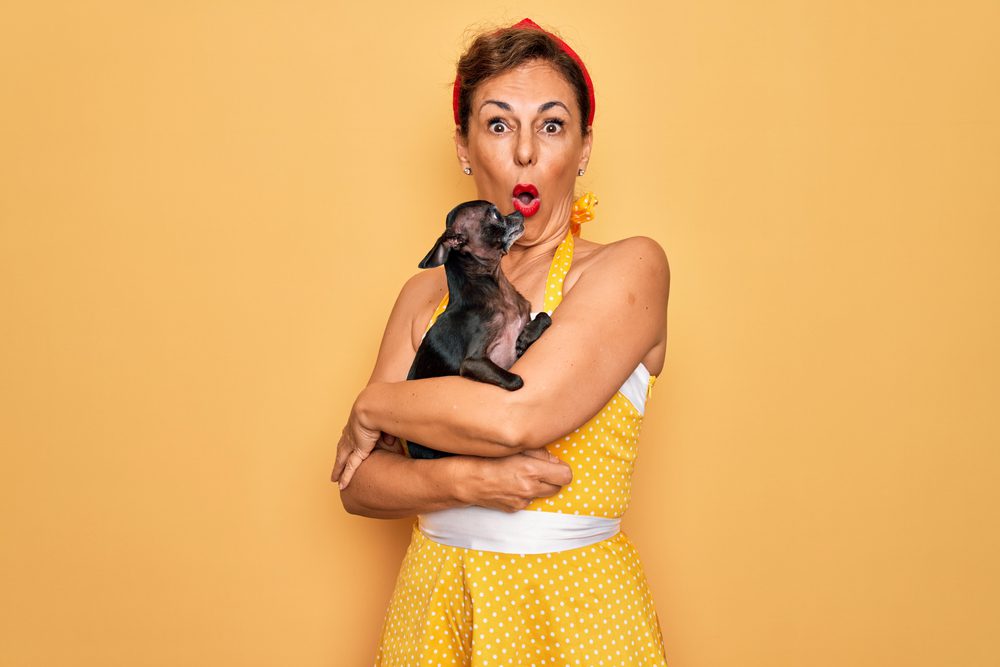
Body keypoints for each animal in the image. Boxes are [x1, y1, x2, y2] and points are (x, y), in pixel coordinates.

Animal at [406, 198, 556, 460]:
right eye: (495, 215)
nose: (518, 213)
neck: (497, 291)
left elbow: (543, 316)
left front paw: (526, 336)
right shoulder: (474, 362)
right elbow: (516, 380)